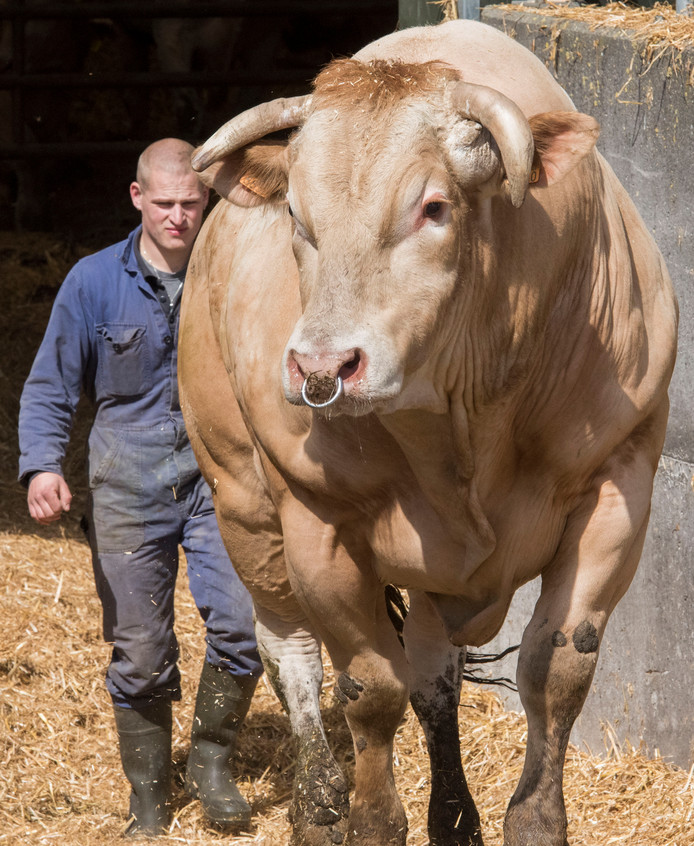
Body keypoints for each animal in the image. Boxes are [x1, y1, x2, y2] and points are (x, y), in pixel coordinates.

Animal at [178, 19, 680, 846]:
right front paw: (370, 821)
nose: (322, 367)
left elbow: (557, 668)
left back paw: (455, 815)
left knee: (434, 675)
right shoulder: (317, 522)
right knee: (293, 652)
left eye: (434, 207)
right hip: (243, 501)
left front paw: (533, 821)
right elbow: (368, 687)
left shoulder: (619, 483)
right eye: (298, 219)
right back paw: (319, 806)